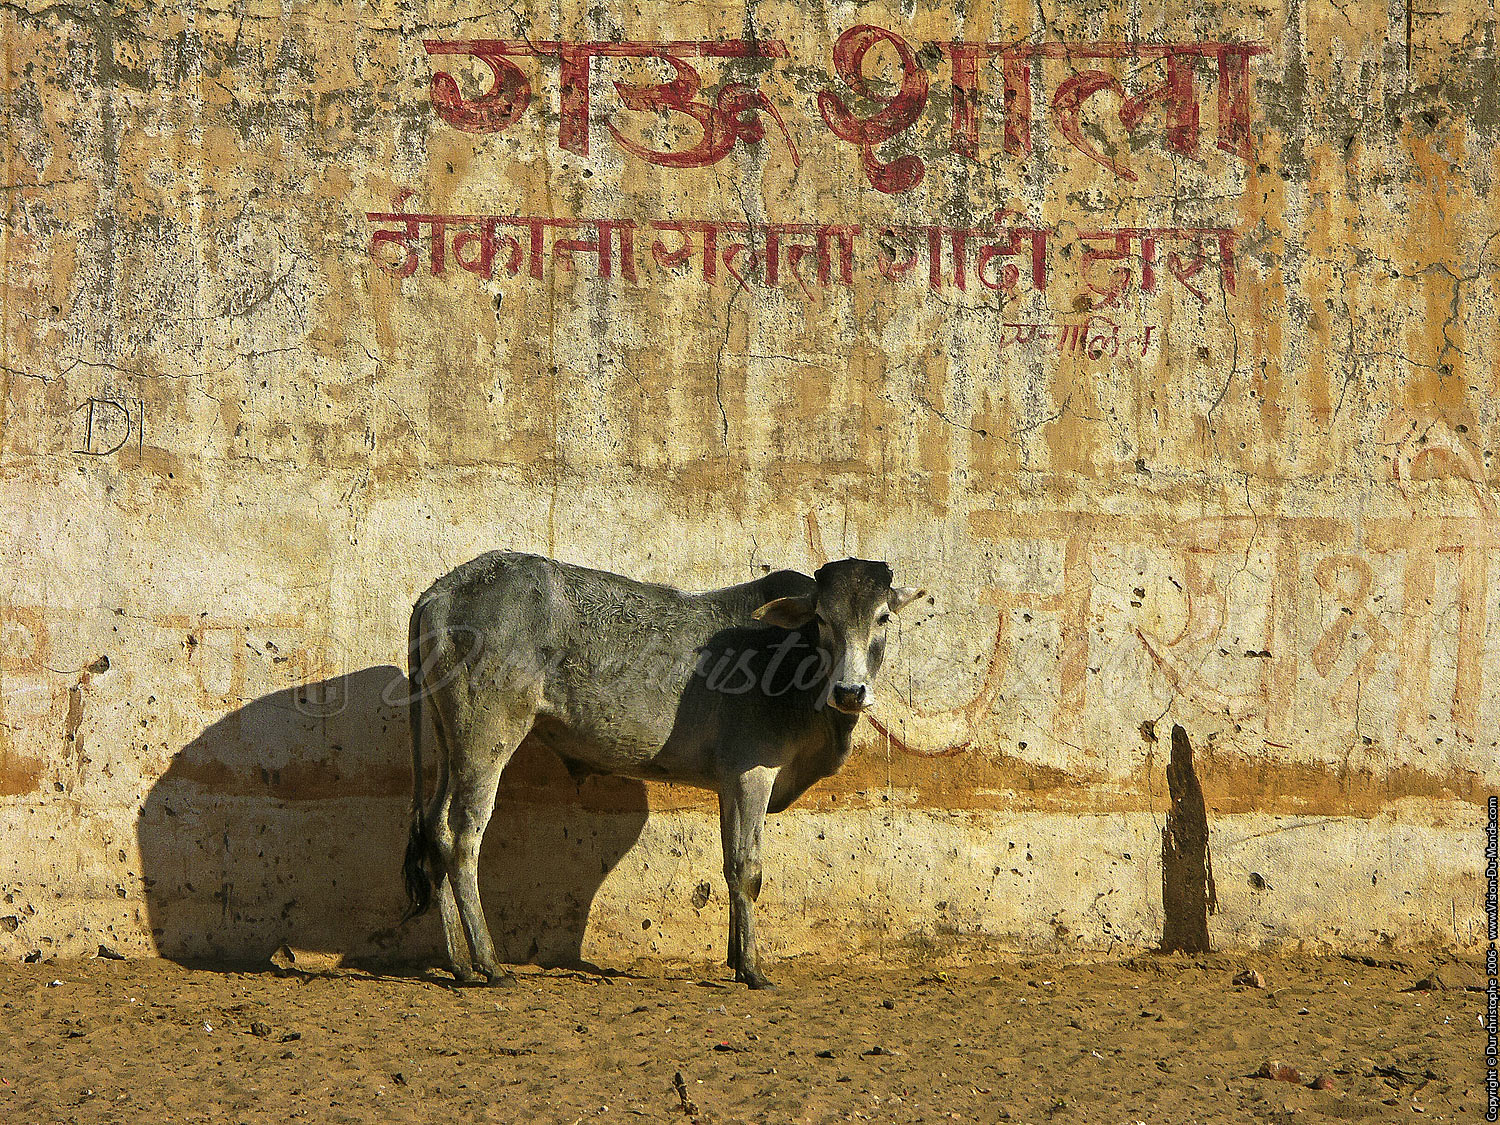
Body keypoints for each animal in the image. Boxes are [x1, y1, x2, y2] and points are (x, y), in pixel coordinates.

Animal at [401, 552, 923, 989]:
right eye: (822, 621)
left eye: (883, 618)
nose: (850, 691)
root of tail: (441, 591)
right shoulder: (751, 774)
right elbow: (747, 869)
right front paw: (753, 970)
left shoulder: (728, 784)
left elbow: (730, 864)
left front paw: (736, 957)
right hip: (487, 739)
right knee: (464, 836)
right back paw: (489, 964)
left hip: (451, 743)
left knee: (437, 830)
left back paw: (460, 964)